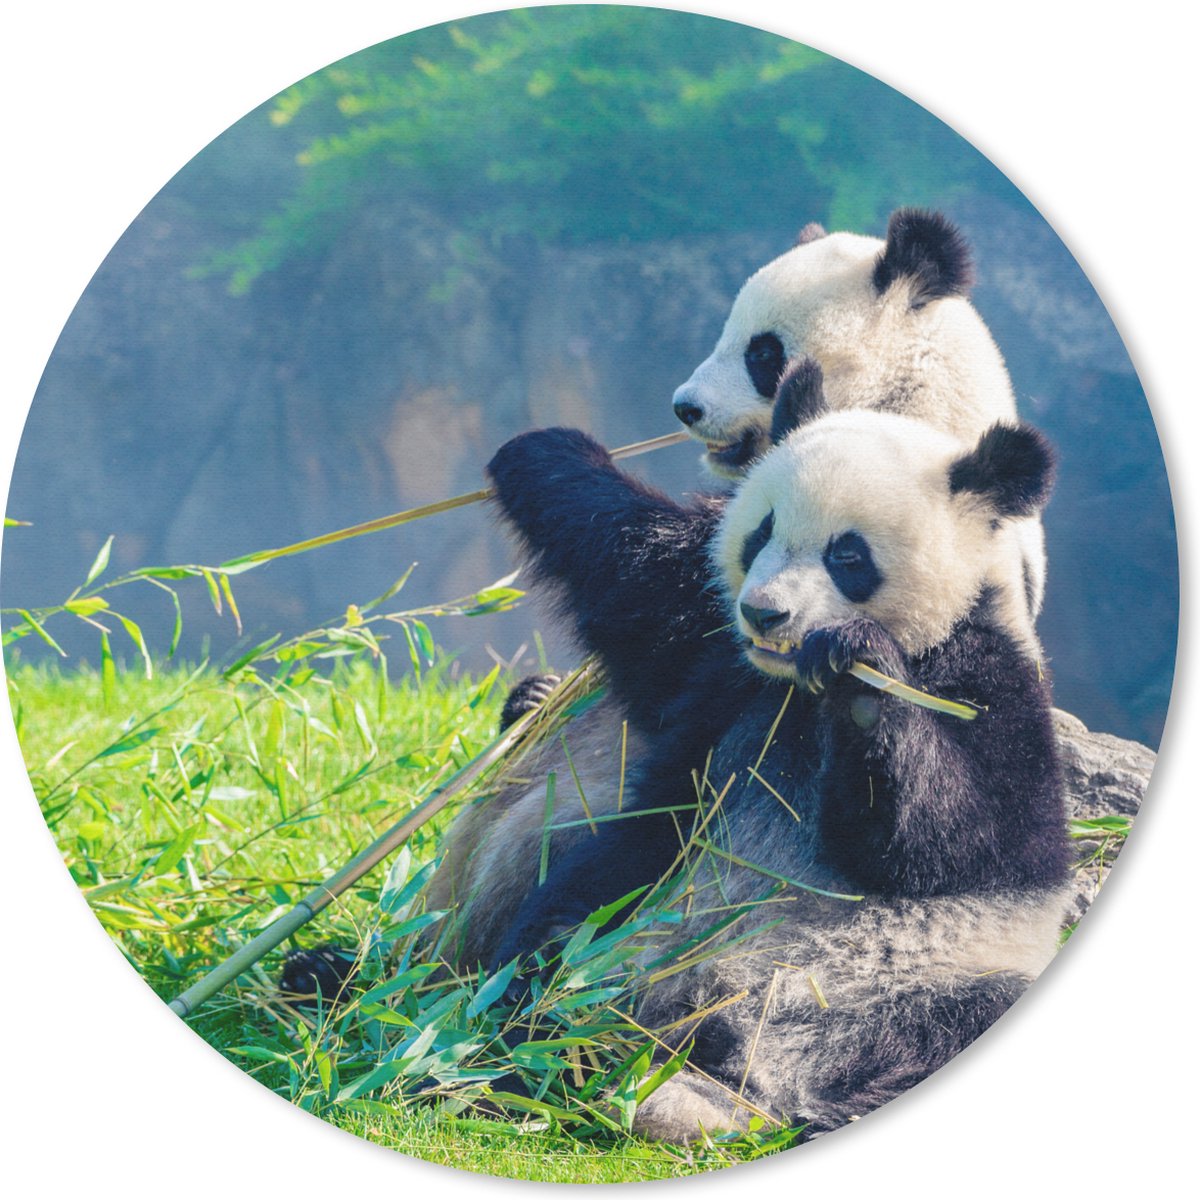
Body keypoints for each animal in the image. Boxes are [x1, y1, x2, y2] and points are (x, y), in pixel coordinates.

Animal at [481, 380, 1069, 1141]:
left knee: (963, 1019)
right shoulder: (725, 679)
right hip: (634, 916)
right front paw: (545, 450)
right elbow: (641, 587)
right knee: (556, 941)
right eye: (761, 531)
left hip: (924, 980)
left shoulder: (988, 678)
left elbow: (963, 840)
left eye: (848, 555)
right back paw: (517, 1054)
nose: (764, 614)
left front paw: (860, 675)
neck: (797, 690)